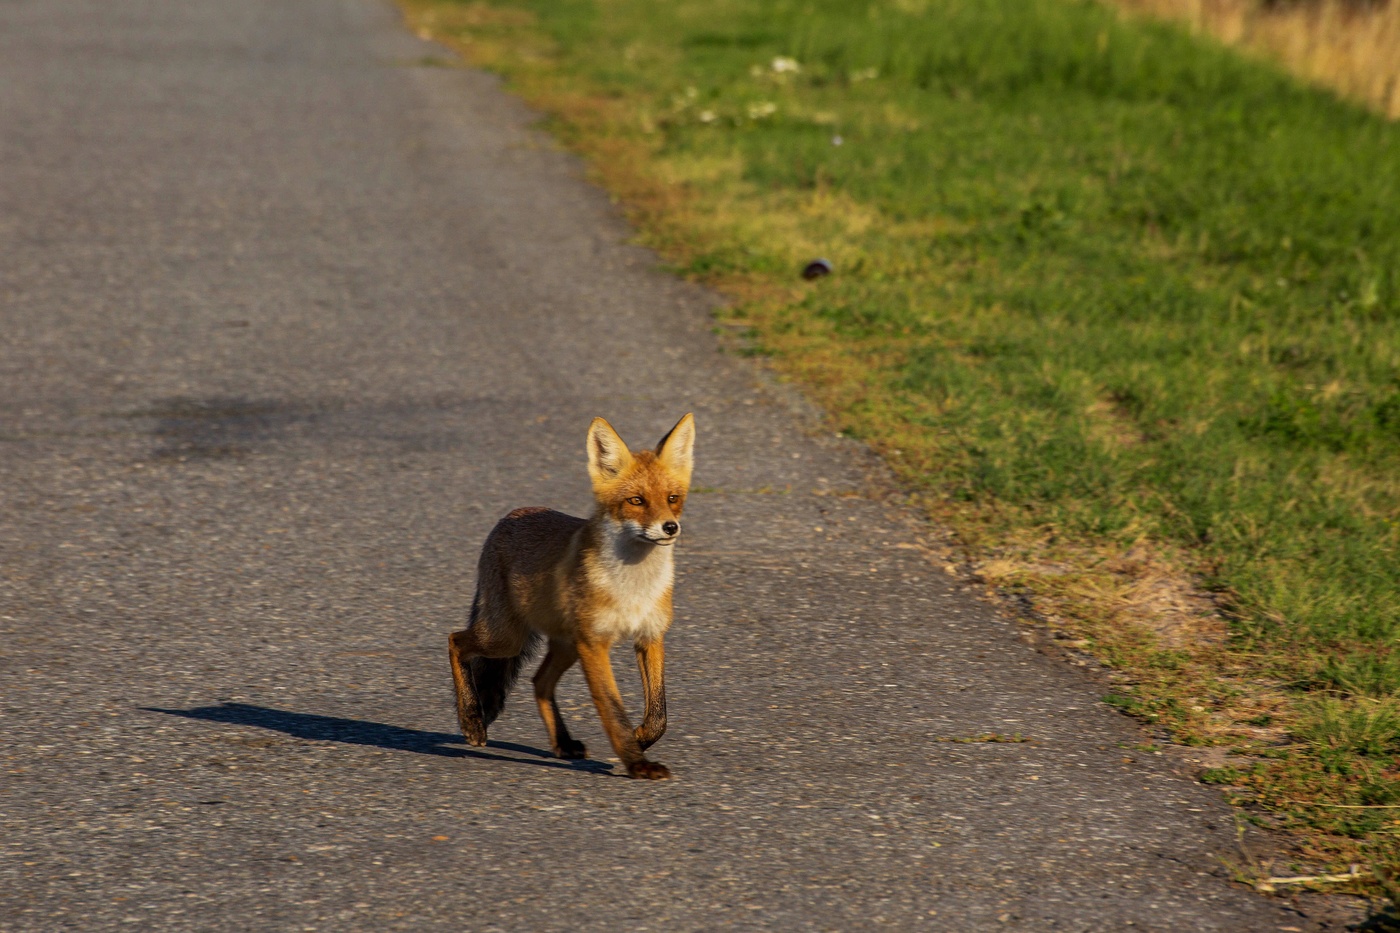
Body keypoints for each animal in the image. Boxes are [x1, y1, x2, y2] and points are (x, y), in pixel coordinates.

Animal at [448, 411, 694, 778]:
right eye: (636, 501)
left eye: (672, 499)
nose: (670, 528)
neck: (632, 589)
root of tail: (510, 515)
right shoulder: (595, 644)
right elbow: (612, 708)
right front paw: (636, 761)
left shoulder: (650, 635)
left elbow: (659, 714)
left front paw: (640, 739)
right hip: (506, 638)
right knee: (455, 641)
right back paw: (472, 719)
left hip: (563, 646)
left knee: (540, 682)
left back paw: (562, 743)